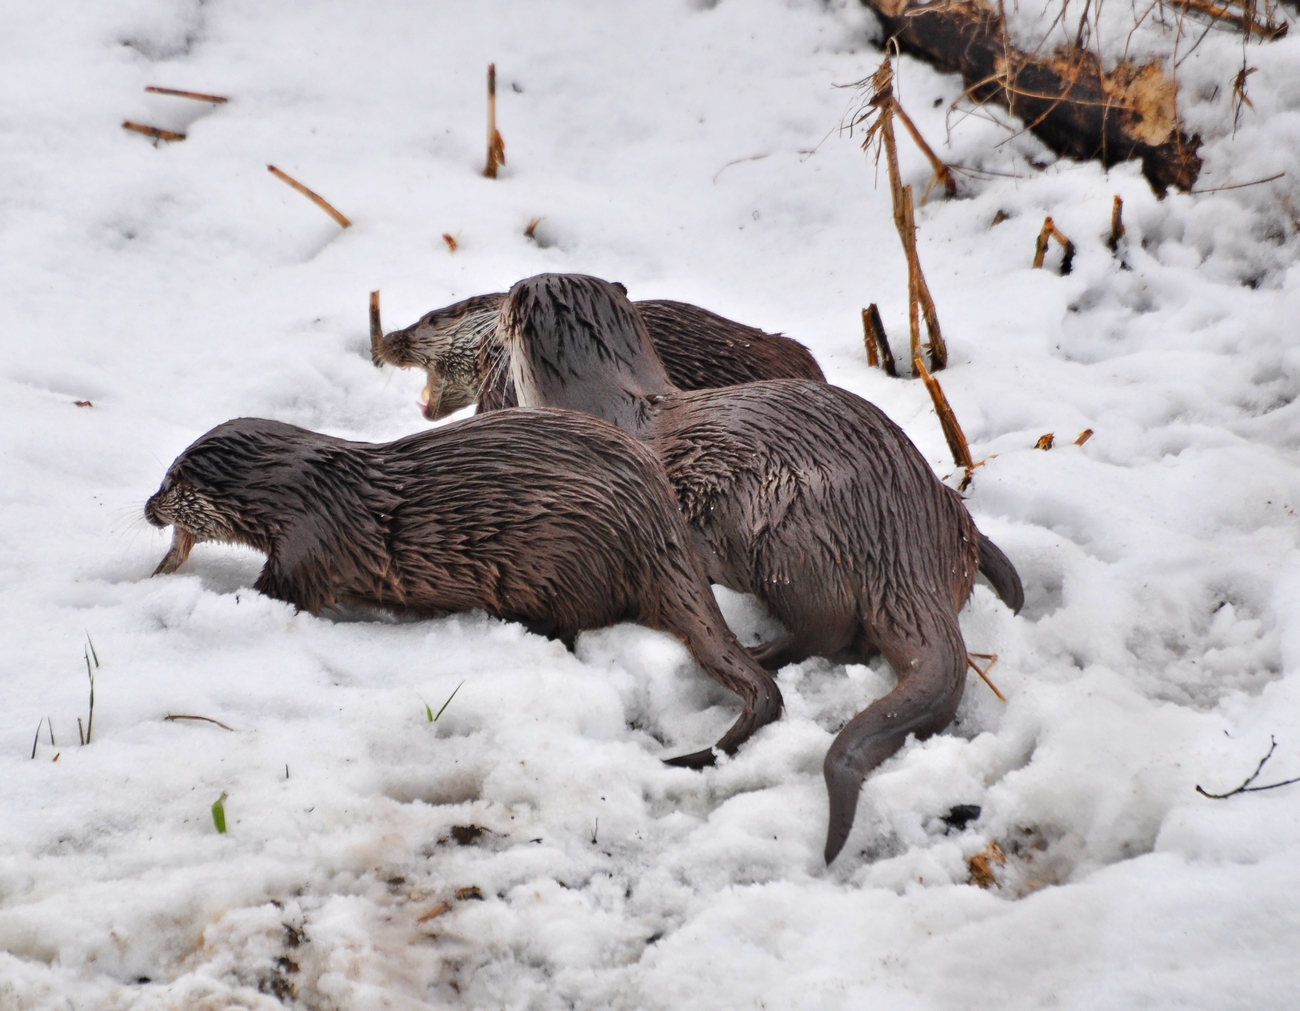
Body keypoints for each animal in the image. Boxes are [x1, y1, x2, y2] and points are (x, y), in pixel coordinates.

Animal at [149, 410, 780, 764]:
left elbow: (282, 593)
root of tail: (658, 525)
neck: (305, 491)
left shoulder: (311, 541)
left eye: (171, 480)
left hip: (569, 558)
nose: (151, 507)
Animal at [491, 270, 1019, 857]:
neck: (612, 398)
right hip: (939, 517)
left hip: (785, 533)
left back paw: (759, 652)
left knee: (823, 630)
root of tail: (903, 542)